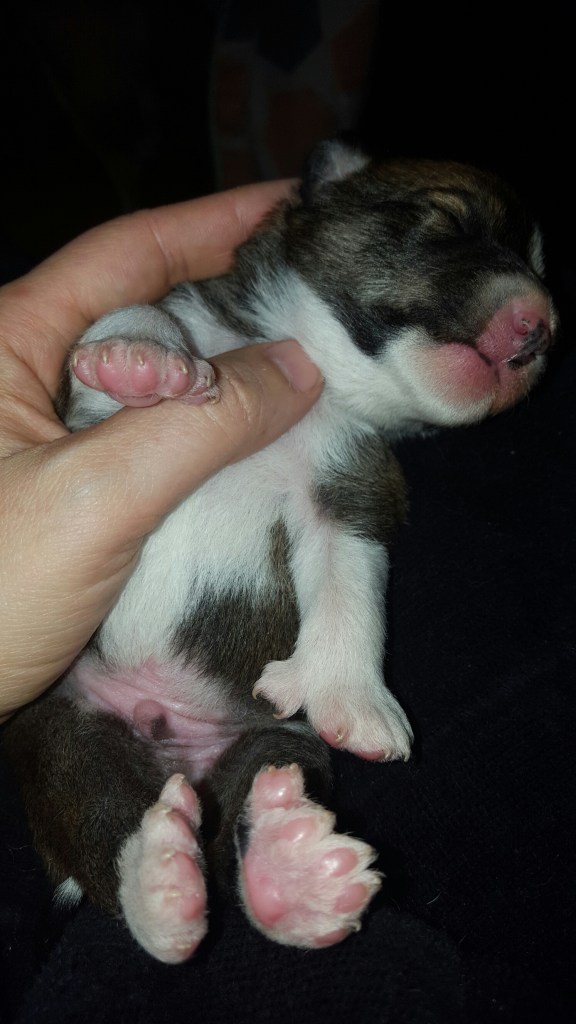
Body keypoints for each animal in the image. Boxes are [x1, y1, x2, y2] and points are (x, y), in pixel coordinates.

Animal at [2, 139, 556, 963]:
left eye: (542, 270)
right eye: (446, 220)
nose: (541, 327)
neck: (320, 375)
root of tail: (176, 746)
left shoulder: (350, 495)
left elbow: (353, 589)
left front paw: (356, 700)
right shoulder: (91, 407)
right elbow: (142, 315)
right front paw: (140, 358)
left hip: (273, 742)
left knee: (255, 801)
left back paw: (293, 877)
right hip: (61, 726)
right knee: (103, 824)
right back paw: (160, 887)